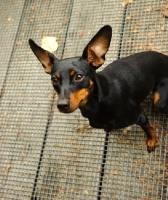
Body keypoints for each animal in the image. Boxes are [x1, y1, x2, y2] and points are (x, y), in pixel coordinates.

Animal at [28, 25, 168, 153]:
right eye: (54, 80)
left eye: (78, 76)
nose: (62, 105)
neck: (97, 104)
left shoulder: (140, 115)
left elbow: (148, 128)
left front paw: (151, 140)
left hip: (159, 103)